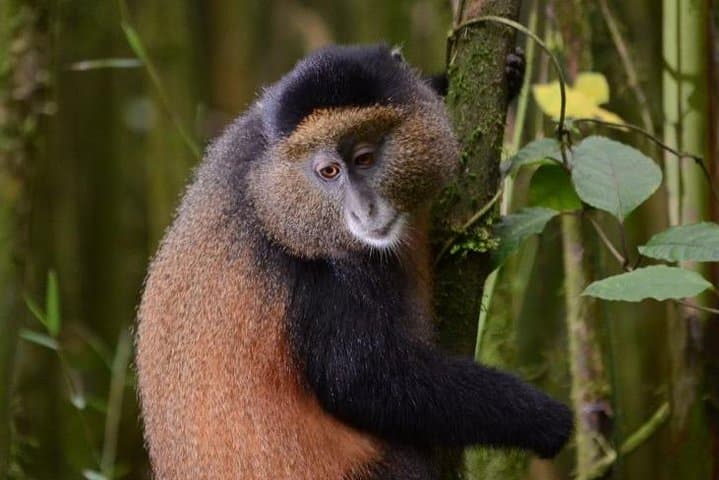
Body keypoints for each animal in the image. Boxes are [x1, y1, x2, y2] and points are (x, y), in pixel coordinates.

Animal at [136, 43, 572, 479]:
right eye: (329, 171)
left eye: (364, 159)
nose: (365, 209)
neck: (273, 195)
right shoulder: (322, 282)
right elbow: (367, 382)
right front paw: (541, 417)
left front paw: (501, 72)